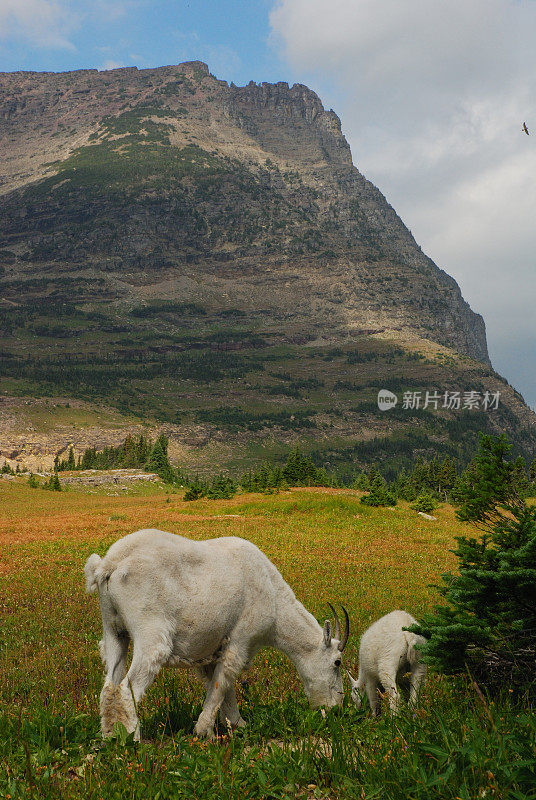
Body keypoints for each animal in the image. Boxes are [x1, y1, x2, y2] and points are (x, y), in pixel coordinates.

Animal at [84, 528, 350, 740]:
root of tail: (109, 564)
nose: (336, 707)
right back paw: (133, 740)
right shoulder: (241, 639)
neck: (274, 596)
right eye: (337, 662)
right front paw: (205, 731)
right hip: (150, 633)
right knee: (126, 689)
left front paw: (234, 724)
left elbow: (220, 686)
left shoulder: (212, 647)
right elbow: (223, 682)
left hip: (113, 630)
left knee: (109, 686)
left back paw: (110, 737)